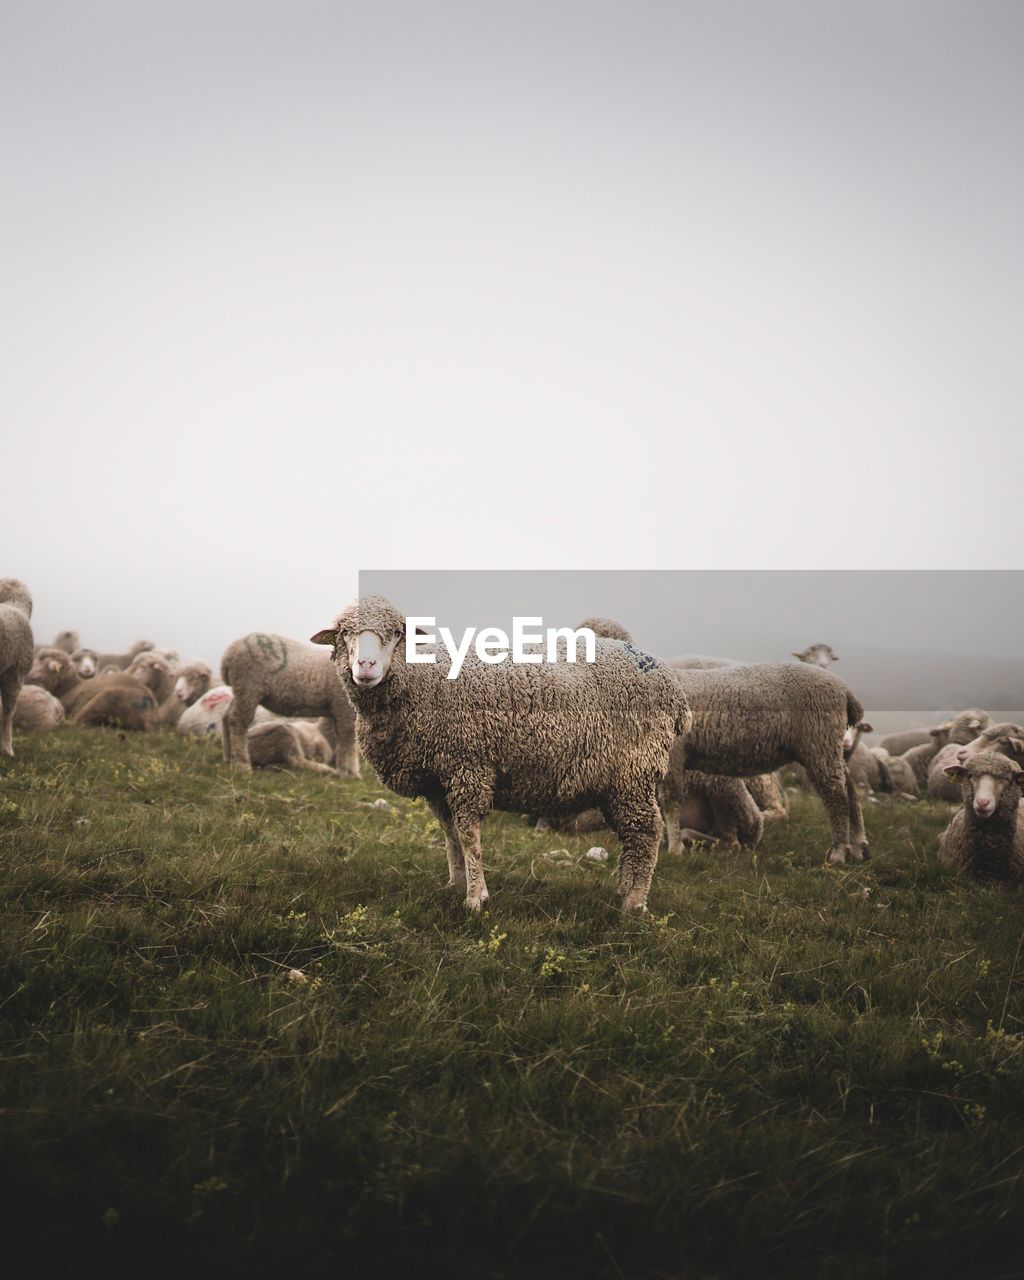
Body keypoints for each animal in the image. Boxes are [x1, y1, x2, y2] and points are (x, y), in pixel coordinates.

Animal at [221, 632, 360, 773]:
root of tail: (228, 654)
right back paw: (242, 765)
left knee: (226, 716)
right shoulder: (343, 705)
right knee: (238, 721)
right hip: (249, 687)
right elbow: (348, 736)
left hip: (242, 691)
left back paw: (228, 757)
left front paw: (344, 768)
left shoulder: (336, 707)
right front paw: (351, 772)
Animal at [312, 593, 691, 916]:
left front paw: (475, 897)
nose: (366, 665)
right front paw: (455, 884)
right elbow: (450, 834)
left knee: (647, 832)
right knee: (631, 837)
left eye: (396, 633)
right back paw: (623, 889)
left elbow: (468, 833)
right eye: (344, 632)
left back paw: (635, 903)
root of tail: (674, 689)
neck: (421, 680)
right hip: (617, 783)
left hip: (634, 771)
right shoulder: (437, 780)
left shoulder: (467, 765)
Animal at [665, 665, 870, 865]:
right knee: (850, 789)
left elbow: (671, 801)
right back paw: (859, 846)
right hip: (828, 748)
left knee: (837, 797)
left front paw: (674, 849)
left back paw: (839, 852)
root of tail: (846, 692)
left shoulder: (673, 752)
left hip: (819, 741)